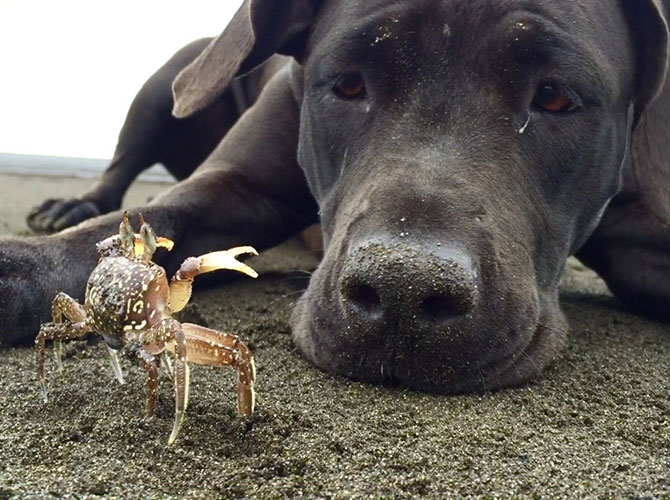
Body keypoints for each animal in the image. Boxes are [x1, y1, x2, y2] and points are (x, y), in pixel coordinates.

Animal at [1, 0, 670, 394]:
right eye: (347, 83)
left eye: (556, 96)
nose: (404, 294)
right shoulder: (238, 187)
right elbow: (143, 222)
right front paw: (23, 265)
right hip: (165, 84)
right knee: (121, 166)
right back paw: (70, 204)